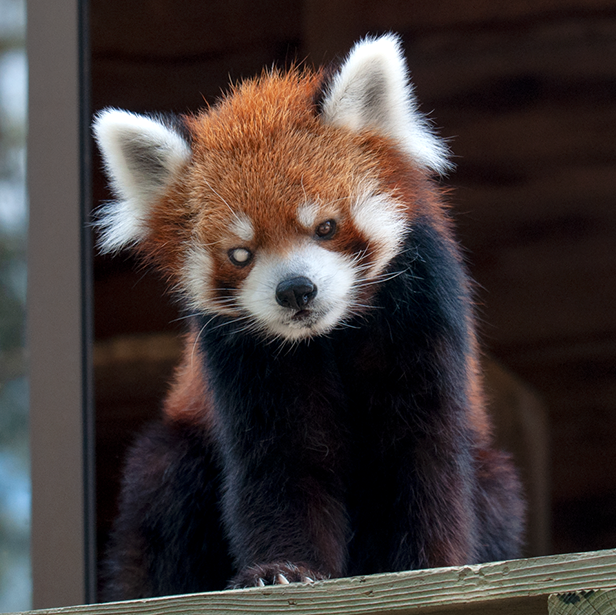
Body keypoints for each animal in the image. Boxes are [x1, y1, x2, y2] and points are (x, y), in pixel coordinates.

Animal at [92, 35, 524, 600]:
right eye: (240, 254)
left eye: (325, 227)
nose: (295, 289)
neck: (327, 336)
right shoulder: (247, 360)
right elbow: (285, 460)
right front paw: (284, 569)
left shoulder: (420, 316)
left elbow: (422, 450)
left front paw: (426, 566)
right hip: (174, 454)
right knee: (163, 491)